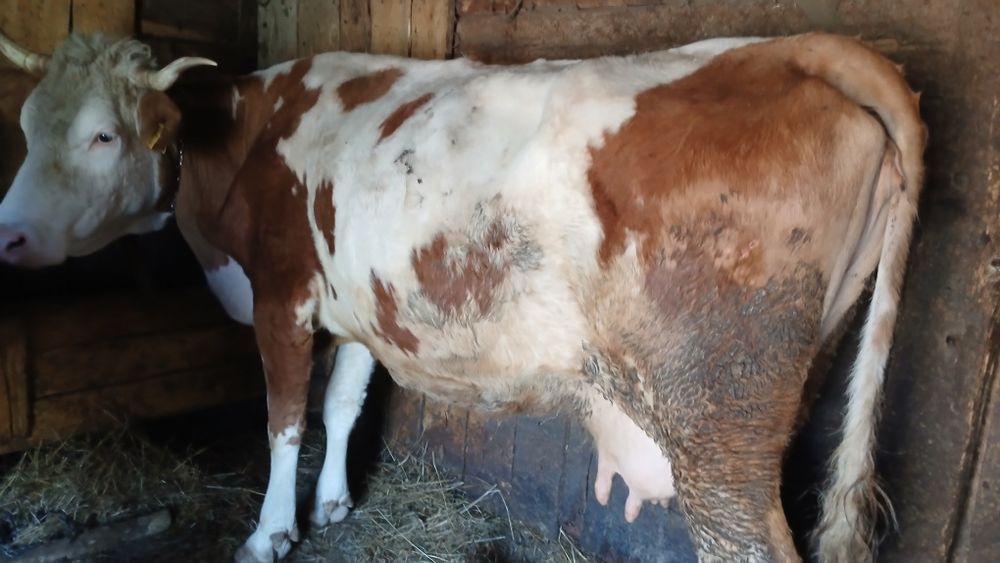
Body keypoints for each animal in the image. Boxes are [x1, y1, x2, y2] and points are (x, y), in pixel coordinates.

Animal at [0, 29, 925, 563]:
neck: (248, 132)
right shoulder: (360, 309)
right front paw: (333, 503)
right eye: (26, 126)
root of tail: (790, 47)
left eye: (103, 135)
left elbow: (284, 418)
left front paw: (269, 533)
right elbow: (341, 404)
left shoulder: (282, 295)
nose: (7, 235)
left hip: (716, 416)